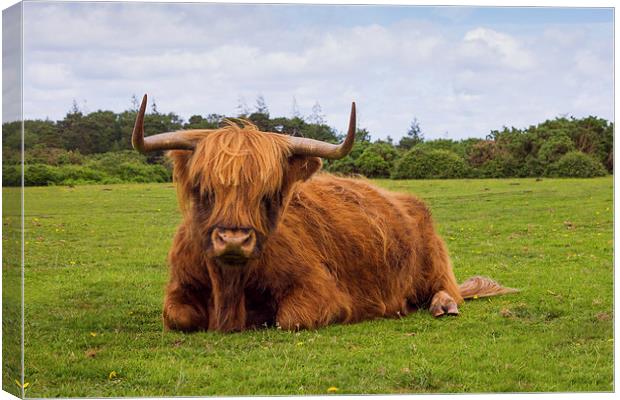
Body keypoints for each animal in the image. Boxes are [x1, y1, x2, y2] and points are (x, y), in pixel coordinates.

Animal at [132, 95, 520, 332]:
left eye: (269, 192)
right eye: (203, 187)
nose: (233, 239)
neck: (230, 284)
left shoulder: (322, 291)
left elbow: (290, 319)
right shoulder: (180, 287)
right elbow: (177, 316)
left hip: (433, 261)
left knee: (446, 288)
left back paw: (443, 305)